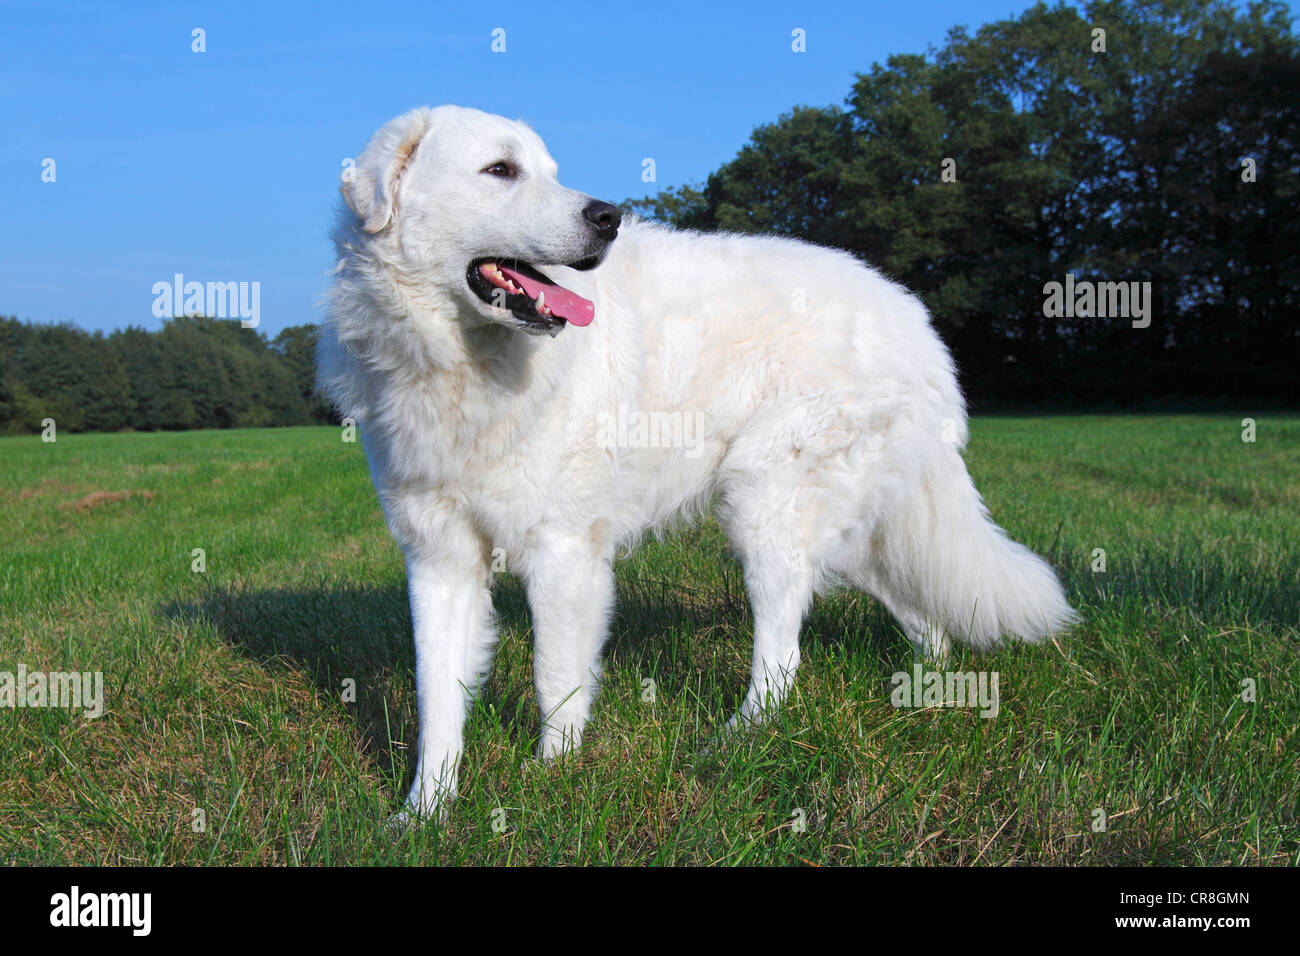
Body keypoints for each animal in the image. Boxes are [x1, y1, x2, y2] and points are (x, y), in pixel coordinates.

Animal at [317, 106, 1076, 822]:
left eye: (549, 171)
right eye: (500, 170)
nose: (608, 217)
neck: (463, 365)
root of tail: (913, 319)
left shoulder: (563, 552)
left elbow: (553, 680)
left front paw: (551, 786)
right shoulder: (439, 560)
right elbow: (436, 701)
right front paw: (425, 812)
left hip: (766, 505)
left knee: (783, 656)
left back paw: (734, 744)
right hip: (848, 529)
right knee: (921, 613)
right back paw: (928, 691)